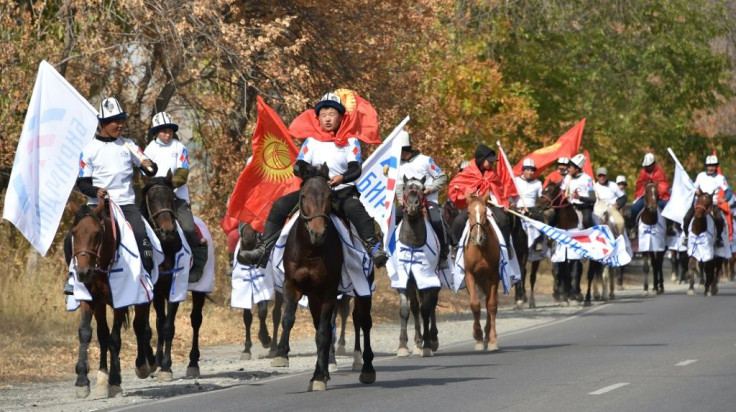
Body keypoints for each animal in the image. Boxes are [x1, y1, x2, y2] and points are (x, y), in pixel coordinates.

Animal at [67, 203, 154, 400]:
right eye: (74, 232)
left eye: (98, 233)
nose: (83, 272)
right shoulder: (89, 299)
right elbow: (86, 333)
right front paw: (82, 381)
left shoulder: (120, 301)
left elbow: (115, 339)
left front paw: (115, 382)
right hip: (100, 304)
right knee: (103, 334)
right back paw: (102, 378)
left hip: (143, 298)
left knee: (139, 326)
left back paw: (143, 365)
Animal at [141, 174, 207, 380]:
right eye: (151, 199)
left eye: (171, 197)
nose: (168, 231)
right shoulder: (153, 290)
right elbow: (153, 326)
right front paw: (153, 362)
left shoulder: (174, 288)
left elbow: (169, 327)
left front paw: (166, 367)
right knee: (160, 321)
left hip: (201, 289)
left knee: (196, 320)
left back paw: (193, 363)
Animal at [268, 163, 374, 392]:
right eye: (304, 196)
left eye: (328, 196)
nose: (318, 233)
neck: (311, 250)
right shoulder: (292, 285)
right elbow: (289, 318)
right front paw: (281, 354)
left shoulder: (328, 292)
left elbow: (325, 333)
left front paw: (317, 376)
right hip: (314, 298)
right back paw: (323, 372)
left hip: (363, 290)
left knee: (364, 322)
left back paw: (367, 369)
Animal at [462, 193, 504, 350]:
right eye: (468, 212)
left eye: (485, 211)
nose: (478, 237)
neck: (481, 249)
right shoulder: (470, 275)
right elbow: (475, 304)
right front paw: (478, 336)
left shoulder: (494, 276)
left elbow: (492, 305)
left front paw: (492, 339)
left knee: (488, 301)